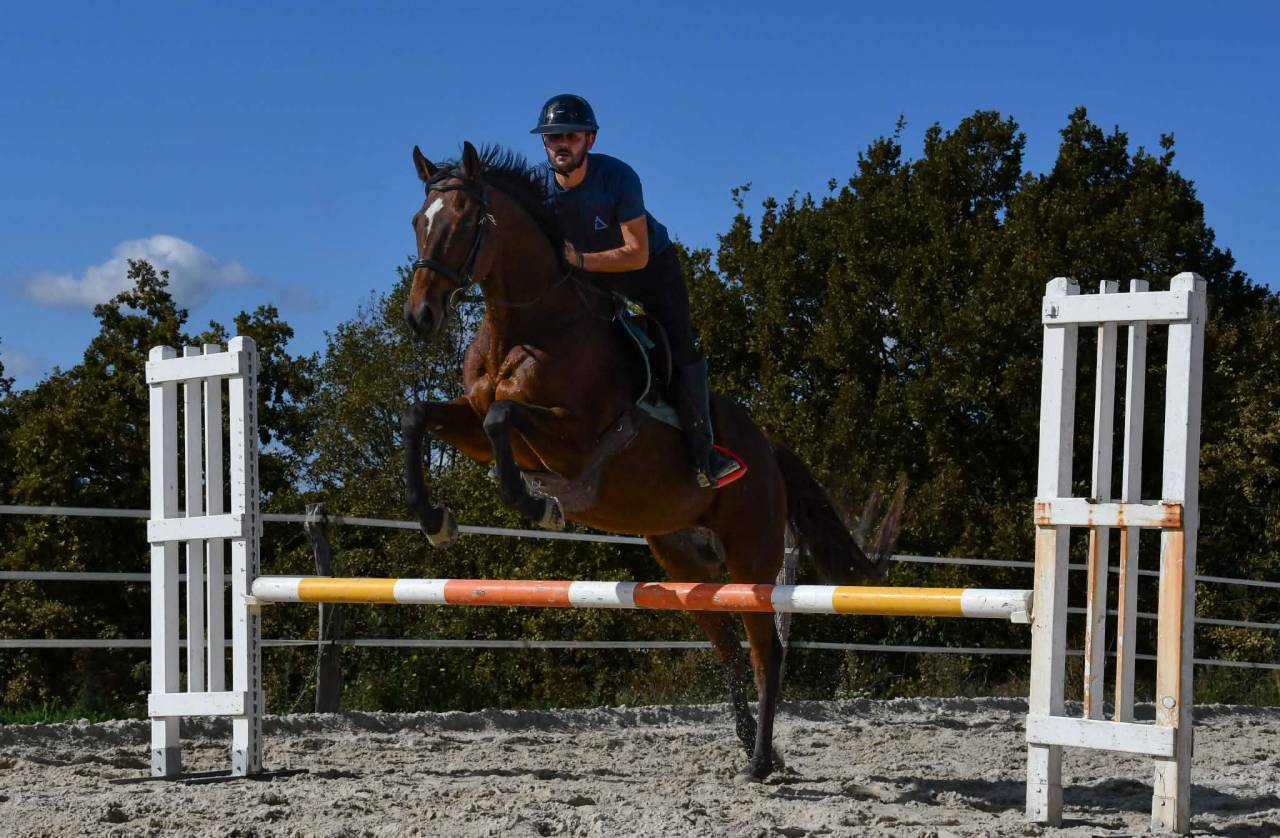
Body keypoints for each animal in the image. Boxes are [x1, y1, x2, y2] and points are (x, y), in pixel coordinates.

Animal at [401, 141, 903, 780]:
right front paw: (433, 519)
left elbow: (503, 419)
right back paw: (755, 746)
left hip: (753, 553)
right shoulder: (473, 421)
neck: (526, 327)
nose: (420, 316)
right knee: (726, 642)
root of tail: (769, 448)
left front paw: (539, 507)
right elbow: (422, 416)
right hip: (683, 559)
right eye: (419, 222)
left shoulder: (574, 442)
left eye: (465, 222)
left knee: (765, 650)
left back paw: (759, 761)